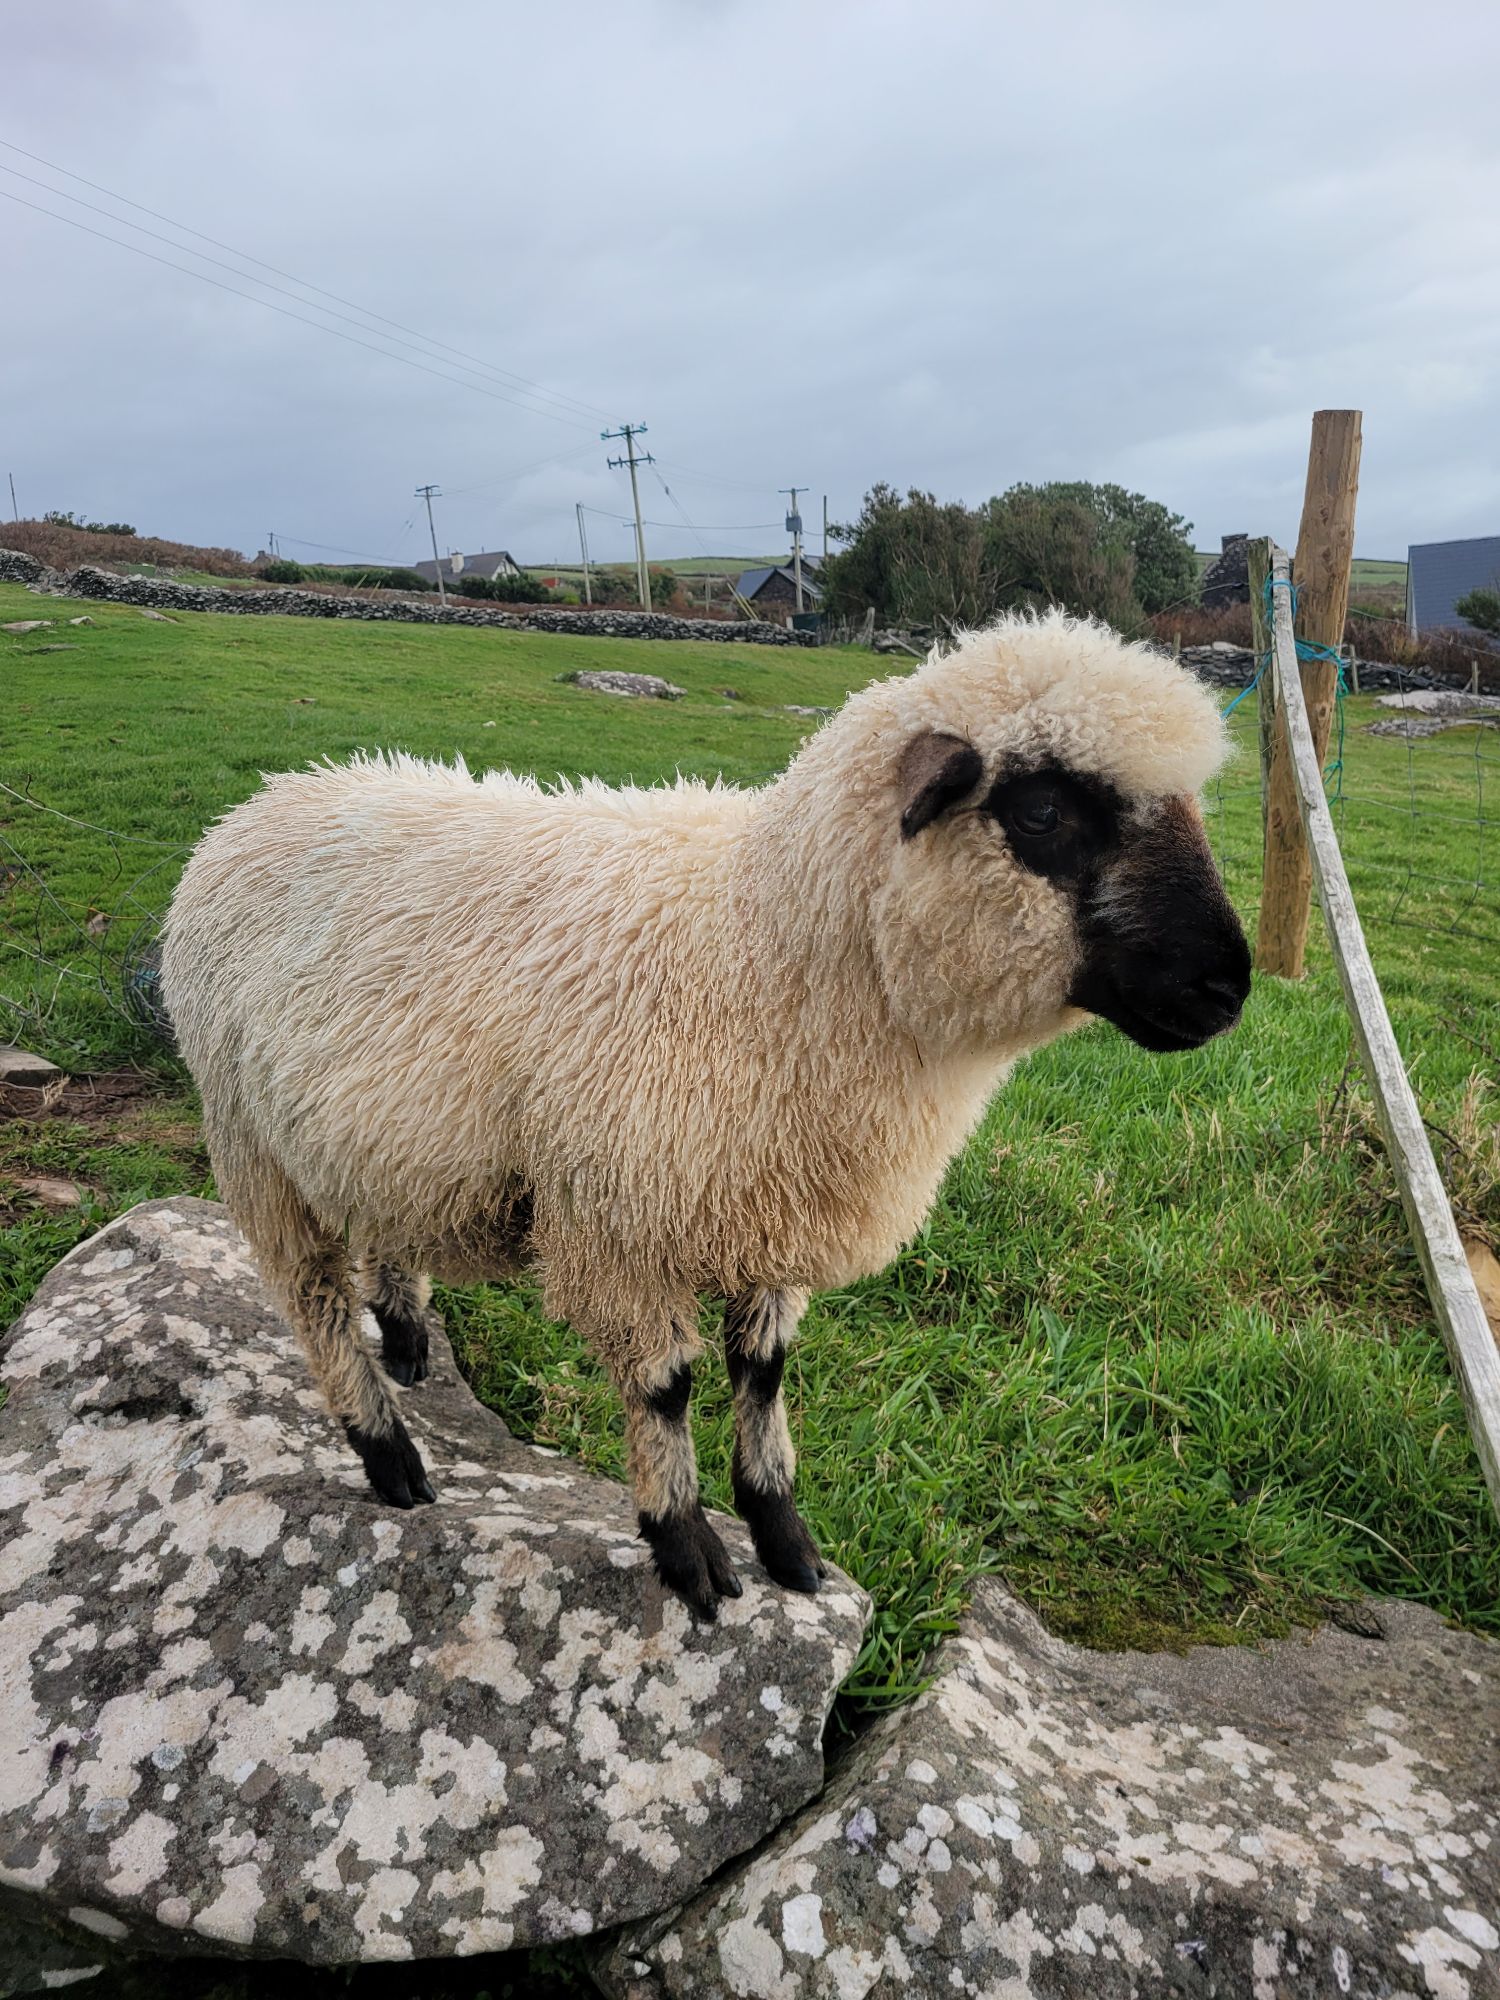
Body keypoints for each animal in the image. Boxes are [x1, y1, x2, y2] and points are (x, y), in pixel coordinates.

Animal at [160, 610, 1250, 1620]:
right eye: (1044, 811)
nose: (1228, 988)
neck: (762, 944)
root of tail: (265, 801)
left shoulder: (773, 1203)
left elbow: (762, 1376)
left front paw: (787, 1540)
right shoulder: (620, 1222)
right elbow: (665, 1389)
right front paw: (686, 1546)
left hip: (369, 1134)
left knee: (382, 1226)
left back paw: (409, 1337)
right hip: (248, 1137)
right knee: (311, 1298)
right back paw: (389, 1454)